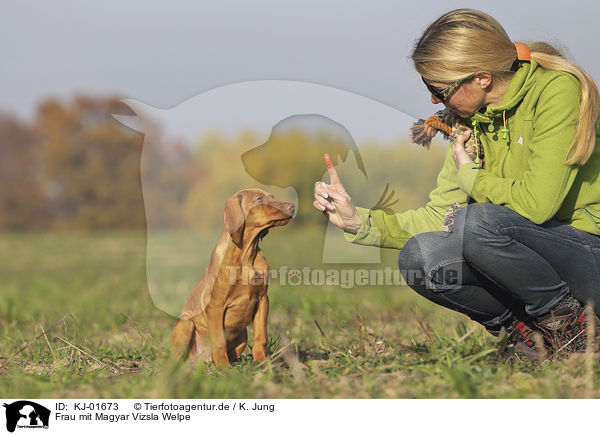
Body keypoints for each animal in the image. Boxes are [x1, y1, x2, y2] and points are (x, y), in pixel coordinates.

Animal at [170, 190, 294, 368]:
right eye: (259, 199)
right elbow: (219, 341)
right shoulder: (215, 306)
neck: (247, 255)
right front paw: (225, 368)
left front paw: (263, 363)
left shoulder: (263, 299)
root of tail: (203, 359)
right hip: (186, 324)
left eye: (272, 197)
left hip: (242, 334)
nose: (292, 206)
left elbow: (261, 336)